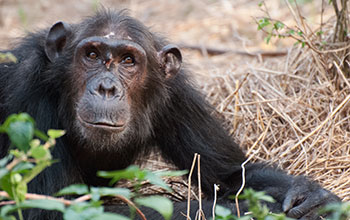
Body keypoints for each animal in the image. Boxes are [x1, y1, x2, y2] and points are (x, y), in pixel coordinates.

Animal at [0, 9, 340, 219]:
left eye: (128, 60)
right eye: (92, 55)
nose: (106, 87)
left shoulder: (177, 94)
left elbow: (231, 174)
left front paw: (314, 197)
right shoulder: (27, 92)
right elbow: (48, 210)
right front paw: (249, 210)